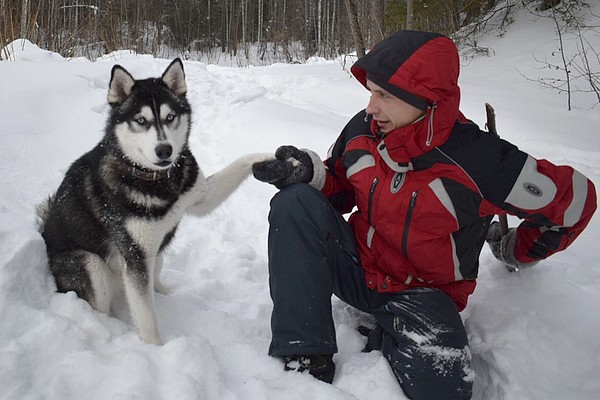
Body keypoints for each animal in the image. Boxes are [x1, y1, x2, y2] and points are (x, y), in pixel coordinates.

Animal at [38, 58, 272, 344]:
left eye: (170, 117)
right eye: (141, 120)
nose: (164, 150)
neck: (157, 179)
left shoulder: (199, 196)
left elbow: (240, 163)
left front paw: (274, 156)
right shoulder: (134, 257)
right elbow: (147, 318)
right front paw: (155, 348)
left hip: (154, 251)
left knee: (156, 271)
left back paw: (166, 291)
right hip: (92, 265)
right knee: (99, 304)